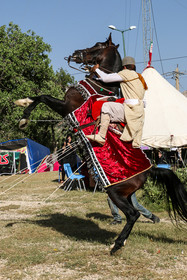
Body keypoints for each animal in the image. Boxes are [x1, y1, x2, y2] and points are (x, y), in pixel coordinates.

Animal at [15, 34, 187, 255]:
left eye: (97, 46)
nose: (75, 54)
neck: (98, 86)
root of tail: (150, 170)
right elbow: (39, 96)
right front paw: (22, 103)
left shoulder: (66, 107)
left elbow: (43, 96)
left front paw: (24, 117)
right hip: (125, 194)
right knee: (134, 211)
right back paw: (121, 240)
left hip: (115, 192)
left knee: (133, 214)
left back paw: (117, 244)